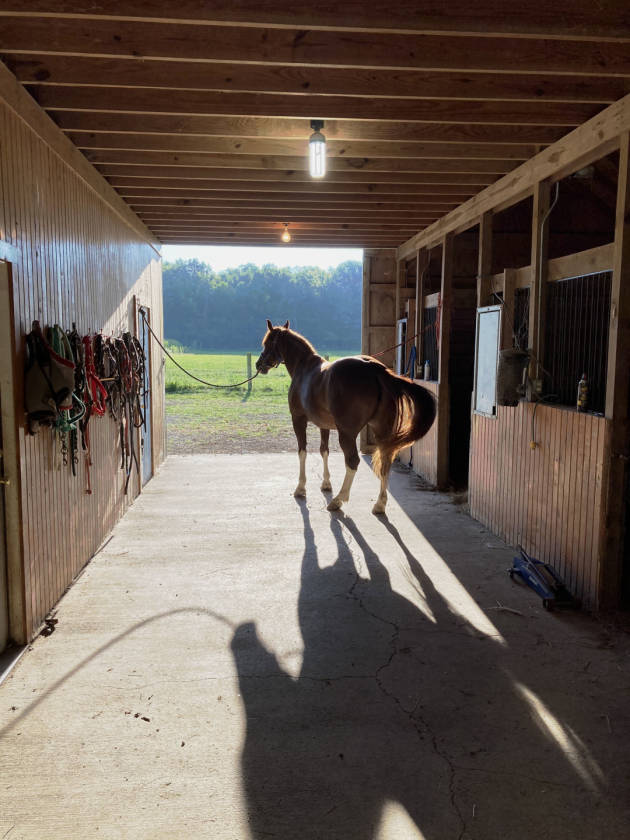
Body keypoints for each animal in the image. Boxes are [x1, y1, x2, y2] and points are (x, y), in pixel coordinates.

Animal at [256, 320, 436, 515]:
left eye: (267, 343)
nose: (259, 365)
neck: (304, 369)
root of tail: (377, 370)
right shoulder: (323, 425)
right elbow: (324, 450)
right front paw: (326, 483)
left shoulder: (298, 419)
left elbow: (302, 451)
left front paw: (301, 488)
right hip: (381, 431)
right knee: (385, 461)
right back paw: (379, 504)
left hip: (347, 433)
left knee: (353, 461)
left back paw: (338, 500)